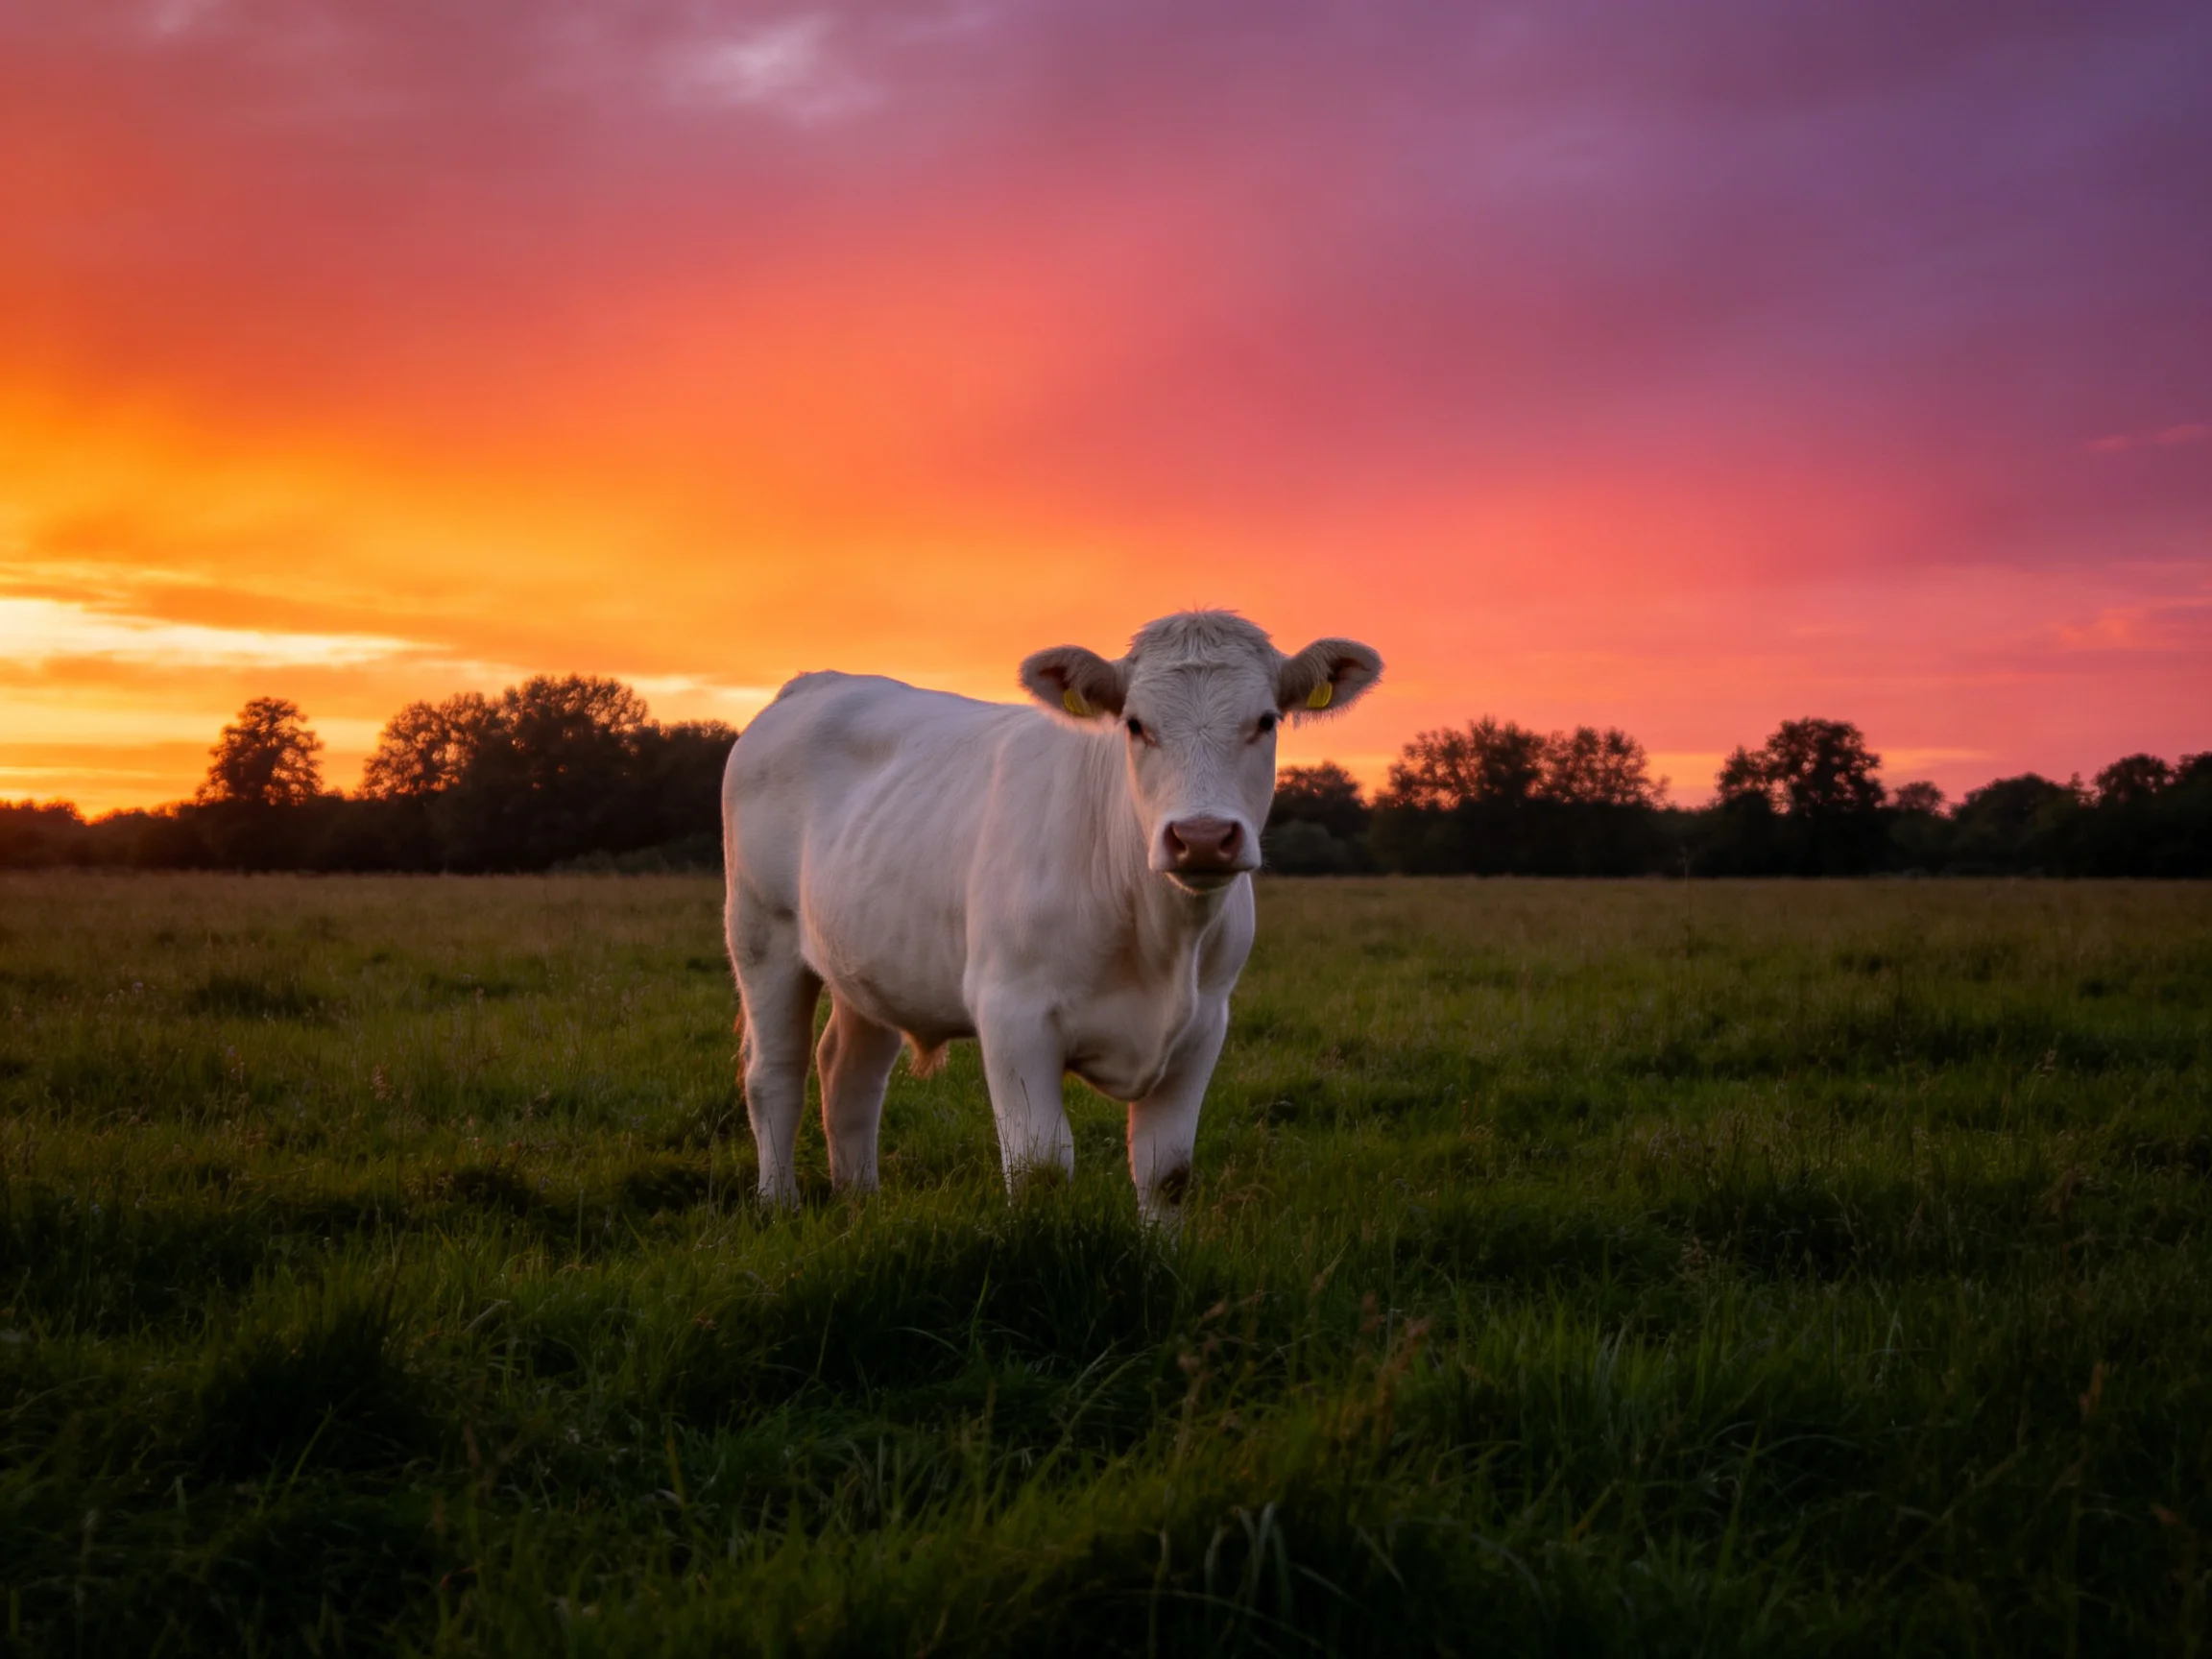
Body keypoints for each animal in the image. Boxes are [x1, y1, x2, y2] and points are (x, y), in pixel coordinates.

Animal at [720, 610, 1383, 1222]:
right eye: (1135, 724)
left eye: (1266, 720)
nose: (1201, 837)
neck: (1161, 942)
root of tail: (816, 683)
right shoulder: (1013, 1013)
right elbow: (1039, 1166)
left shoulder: (1205, 1023)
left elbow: (1167, 1172)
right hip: (761, 935)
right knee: (775, 1073)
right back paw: (779, 1206)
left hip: (873, 964)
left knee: (849, 1074)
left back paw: (862, 1205)